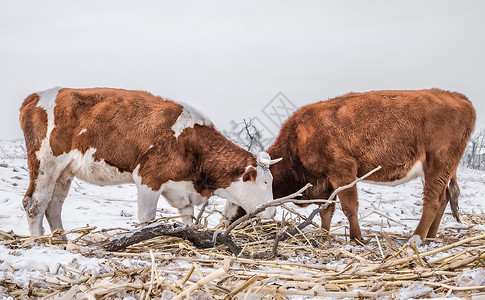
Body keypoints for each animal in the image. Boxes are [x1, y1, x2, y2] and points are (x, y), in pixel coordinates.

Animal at [18, 87, 280, 237]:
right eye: (265, 182)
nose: (273, 211)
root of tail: (35, 96)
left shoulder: (182, 191)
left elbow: (188, 219)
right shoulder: (148, 179)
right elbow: (147, 219)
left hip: (64, 172)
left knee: (53, 206)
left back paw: (60, 240)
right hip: (45, 162)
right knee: (34, 204)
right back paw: (37, 241)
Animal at [226, 88, 472, 246]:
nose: (225, 220)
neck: (299, 136)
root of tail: (457, 97)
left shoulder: (343, 170)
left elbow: (349, 207)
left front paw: (356, 238)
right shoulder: (325, 180)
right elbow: (326, 210)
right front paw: (323, 234)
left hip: (437, 166)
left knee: (432, 201)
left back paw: (416, 239)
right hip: (440, 171)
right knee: (443, 198)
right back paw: (430, 236)